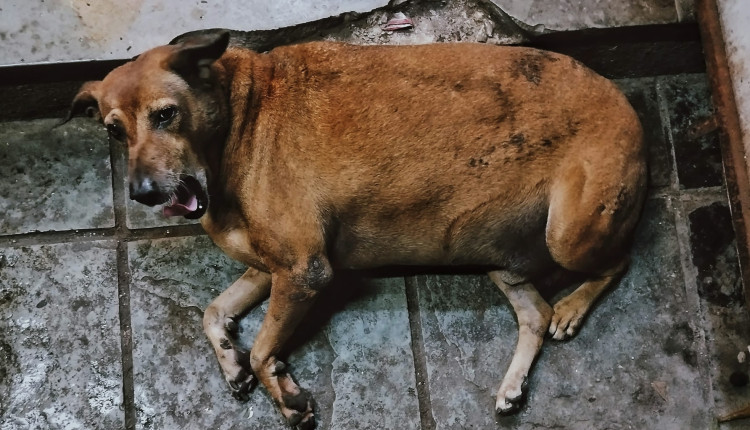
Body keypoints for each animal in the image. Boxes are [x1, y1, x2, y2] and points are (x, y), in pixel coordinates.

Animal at [67, 31, 648, 430]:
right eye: (113, 131)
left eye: (166, 115)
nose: (142, 193)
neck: (236, 119)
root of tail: (624, 102)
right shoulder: (271, 269)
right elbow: (212, 313)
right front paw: (233, 363)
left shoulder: (304, 270)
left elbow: (262, 345)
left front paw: (282, 392)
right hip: (497, 255)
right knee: (534, 315)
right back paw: (512, 386)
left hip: (569, 233)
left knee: (618, 262)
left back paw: (573, 308)